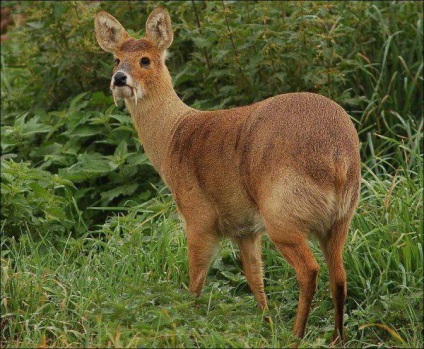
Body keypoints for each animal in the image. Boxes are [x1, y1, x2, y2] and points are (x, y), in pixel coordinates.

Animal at [93, 6, 362, 342]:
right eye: (116, 59)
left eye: (145, 59)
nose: (119, 78)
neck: (173, 137)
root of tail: (338, 158)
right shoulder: (244, 229)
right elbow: (255, 279)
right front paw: (265, 324)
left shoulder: (199, 218)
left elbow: (196, 281)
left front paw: (189, 323)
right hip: (340, 219)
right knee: (339, 276)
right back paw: (336, 337)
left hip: (283, 215)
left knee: (309, 271)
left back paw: (296, 335)